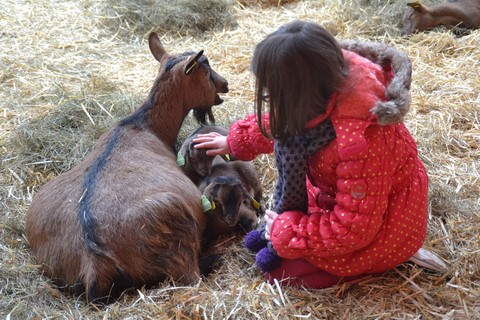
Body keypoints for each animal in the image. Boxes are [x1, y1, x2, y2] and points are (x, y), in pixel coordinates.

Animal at [24, 33, 229, 304]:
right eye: (206, 71)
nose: (225, 85)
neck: (143, 126)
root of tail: (92, 260)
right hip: (176, 225)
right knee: (191, 275)